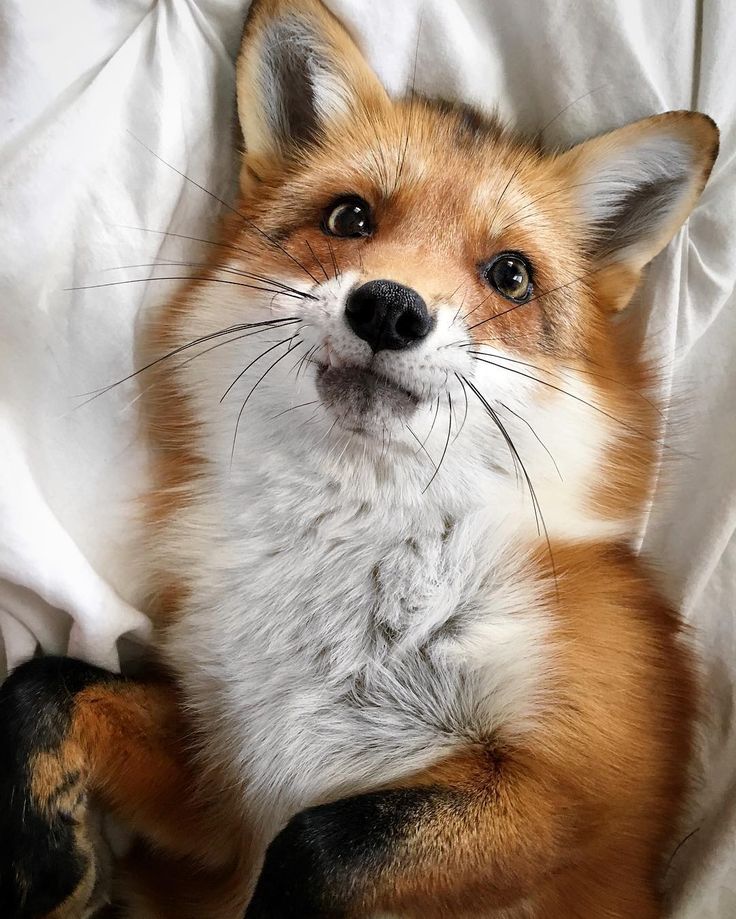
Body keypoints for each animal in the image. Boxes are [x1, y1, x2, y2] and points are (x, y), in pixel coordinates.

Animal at [0, 1, 720, 919]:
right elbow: (47, 687)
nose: (388, 308)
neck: (349, 566)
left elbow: (317, 843)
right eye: (350, 219)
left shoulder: (582, 804)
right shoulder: (225, 789)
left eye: (511, 275)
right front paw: (52, 870)